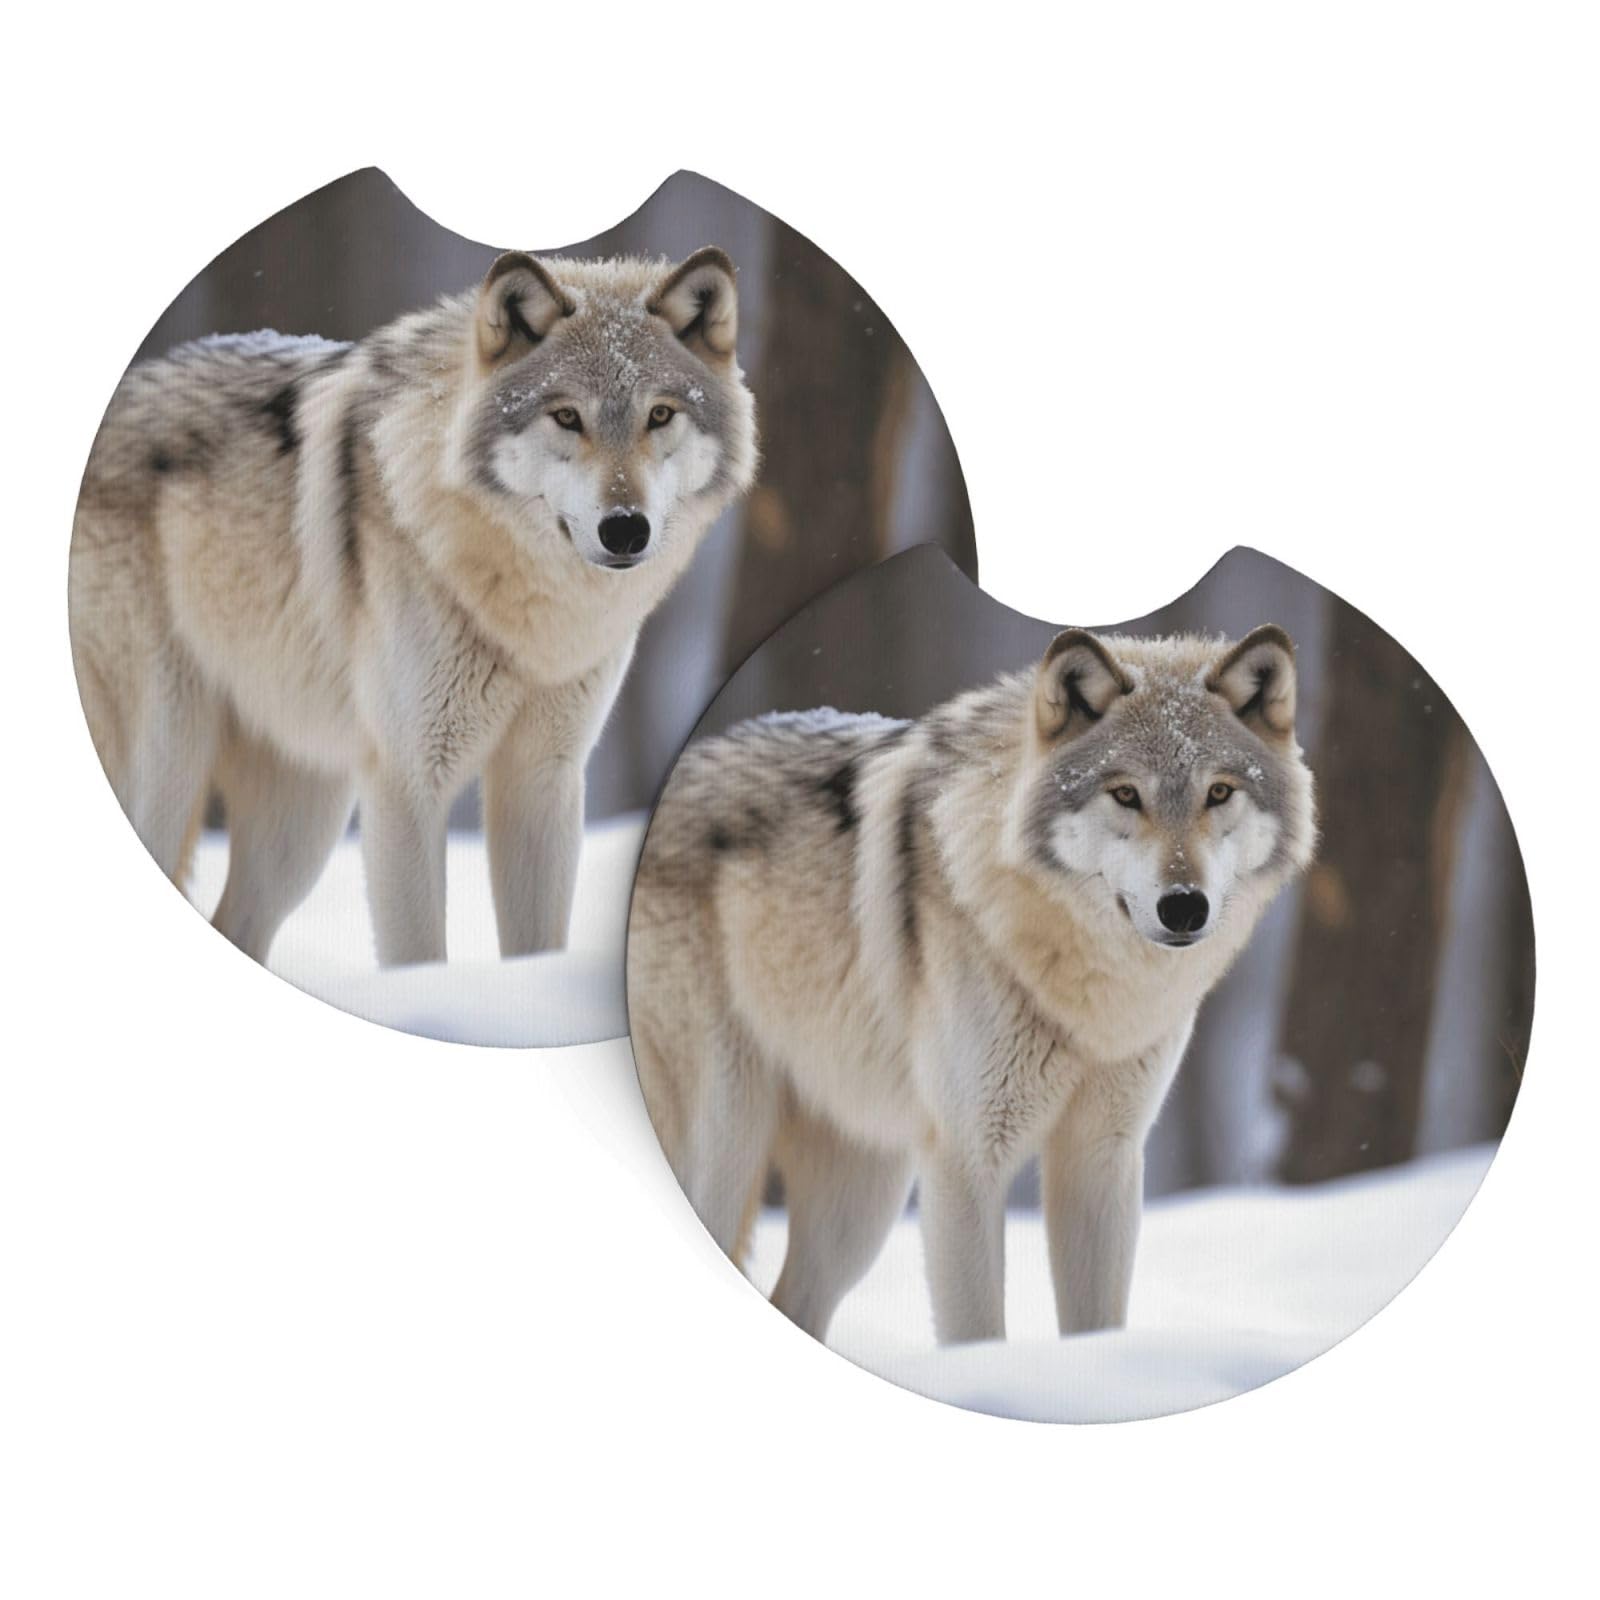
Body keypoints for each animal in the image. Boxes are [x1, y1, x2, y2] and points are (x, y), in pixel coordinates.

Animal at [70, 248, 758, 968]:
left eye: (661, 415)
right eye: (568, 417)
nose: (626, 529)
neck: (527, 617)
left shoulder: (543, 782)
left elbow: (537, 948)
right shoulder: (407, 783)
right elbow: (419, 954)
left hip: (302, 823)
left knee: (236, 926)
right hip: (173, 766)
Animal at [629, 626, 1316, 1345]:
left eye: (1220, 793)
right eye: (1126, 794)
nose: (1184, 907)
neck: (1088, 997)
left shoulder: (1102, 1160)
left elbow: (1097, 1324)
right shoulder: (966, 1161)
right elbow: (977, 1331)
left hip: (861, 1202)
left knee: (794, 1304)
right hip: (732, 1143)